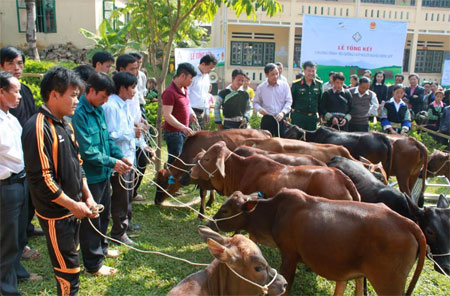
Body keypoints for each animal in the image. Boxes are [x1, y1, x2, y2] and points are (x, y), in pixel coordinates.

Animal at [207, 190, 426, 296]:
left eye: (225, 209)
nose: (210, 222)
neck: (274, 213)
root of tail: (408, 223)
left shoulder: (290, 255)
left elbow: (286, 285)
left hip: (389, 284)